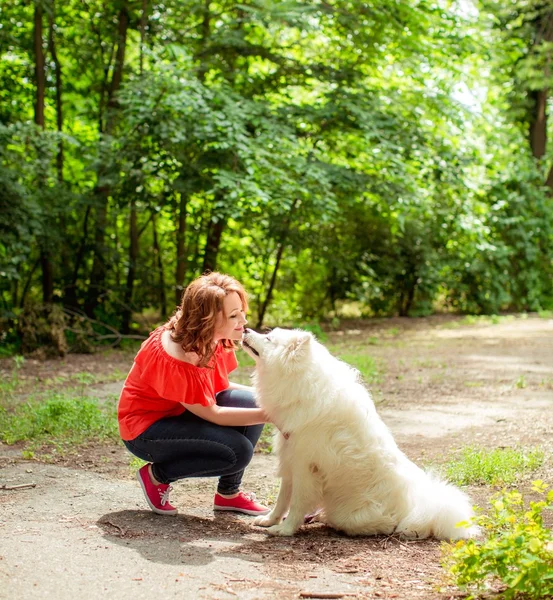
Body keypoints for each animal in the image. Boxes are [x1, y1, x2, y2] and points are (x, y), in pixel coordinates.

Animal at [243, 328, 478, 540]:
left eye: (268, 338)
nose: (245, 329)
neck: (301, 384)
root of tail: (415, 509)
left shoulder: (306, 466)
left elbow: (297, 503)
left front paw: (285, 530)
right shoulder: (290, 459)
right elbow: (282, 499)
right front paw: (269, 520)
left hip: (351, 515)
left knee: (385, 525)